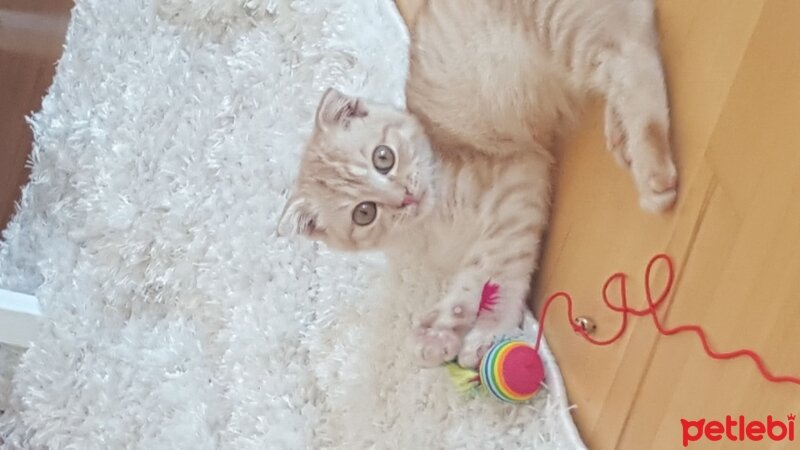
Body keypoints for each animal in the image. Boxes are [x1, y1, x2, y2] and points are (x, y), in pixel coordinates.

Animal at [278, 0, 680, 370]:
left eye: (383, 157)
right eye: (364, 213)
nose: (405, 198)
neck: (432, 226)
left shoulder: (516, 187)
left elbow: (495, 270)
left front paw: (485, 330)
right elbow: (475, 279)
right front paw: (443, 332)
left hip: (563, 30)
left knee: (629, 54)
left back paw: (653, 171)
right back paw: (620, 137)